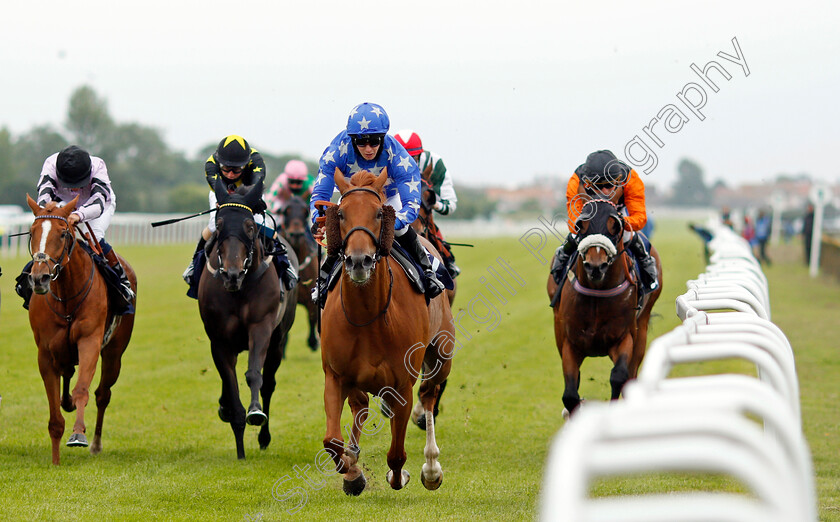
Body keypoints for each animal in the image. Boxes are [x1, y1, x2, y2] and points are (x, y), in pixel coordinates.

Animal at [24, 194, 136, 464]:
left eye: (63, 233)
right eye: (32, 232)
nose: (40, 278)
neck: (66, 296)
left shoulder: (90, 341)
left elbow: (82, 389)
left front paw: (78, 435)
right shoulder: (45, 353)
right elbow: (54, 413)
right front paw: (55, 460)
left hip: (114, 353)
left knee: (103, 394)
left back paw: (95, 443)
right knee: (67, 376)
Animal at [199, 181, 296, 458]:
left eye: (250, 226)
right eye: (219, 224)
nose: (231, 274)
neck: (239, 289)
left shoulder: (261, 326)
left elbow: (254, 374)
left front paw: (255, 412)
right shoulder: (219, 340)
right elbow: (229, 383)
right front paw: (240, 445)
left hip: (278, 341)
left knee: (269, 384)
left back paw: (264, 436)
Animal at [320, 169, 456, 494]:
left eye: (379, 213)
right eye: (340, 213)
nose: (359, 260)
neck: (367, 318)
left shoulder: (402, 384)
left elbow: (396, 454)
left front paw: (400, 475)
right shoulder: (335, 375)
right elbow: (332, 441)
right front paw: (352, 472)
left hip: (441, 355)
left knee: (429, 394)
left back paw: (431, 467)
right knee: (360, 407)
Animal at [544, 197, 664, 416]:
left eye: (615, 225)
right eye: (580, 225)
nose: (595, 266)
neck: (597, 294)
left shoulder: (624, 338)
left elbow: (619, 376)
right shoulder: (569, 343)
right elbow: (570, 394)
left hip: (642, 329)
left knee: (630, 375)